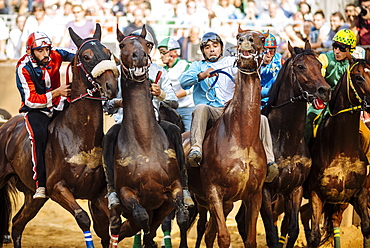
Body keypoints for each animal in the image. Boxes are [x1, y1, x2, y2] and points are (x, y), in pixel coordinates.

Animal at [0, 22, 118, 247]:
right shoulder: (57, 188)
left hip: (34, 197)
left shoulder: (98, 195)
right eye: (87, 56)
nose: (112, 87)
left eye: (109, 52)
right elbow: (83, 218)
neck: (80, 137)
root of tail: (5, 128)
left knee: (17, 224)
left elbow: (111, 226)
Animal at [106, 26, 188, 247]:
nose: (140, 56)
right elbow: (141, 218)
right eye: (122, 44)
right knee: (118, 226)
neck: (144, 141)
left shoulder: (172, 190)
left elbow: (182, 216)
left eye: (147, 44)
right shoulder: (127, 193)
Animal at [233, 41, 330, 247]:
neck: (286, 142)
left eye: (319, 65)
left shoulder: (294, 189)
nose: (325, 90)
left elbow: (292, 230)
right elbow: (271, 234)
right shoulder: (265, 191)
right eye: (300, 66)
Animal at [304, 53, 370, 246]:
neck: (342, 150)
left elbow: (366, 228)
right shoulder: (316, 194)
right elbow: (314, 236)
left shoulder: (358, 193)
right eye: (358, 76)